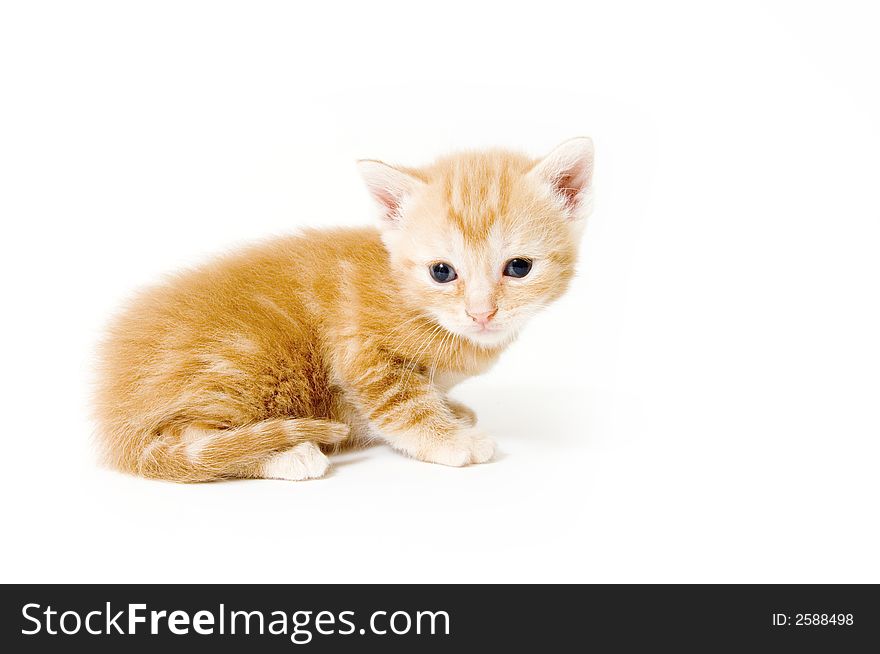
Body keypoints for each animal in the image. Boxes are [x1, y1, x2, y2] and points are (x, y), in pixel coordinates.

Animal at [94, 138, 592, 482]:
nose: (482, 313)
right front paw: (449, 439)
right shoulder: (359, 352)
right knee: (187, 444)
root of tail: (114, 414)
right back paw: (287, 455)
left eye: (519, 267)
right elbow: (401, 404)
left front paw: (450, 409)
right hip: (243, 363)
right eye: (442, 272)